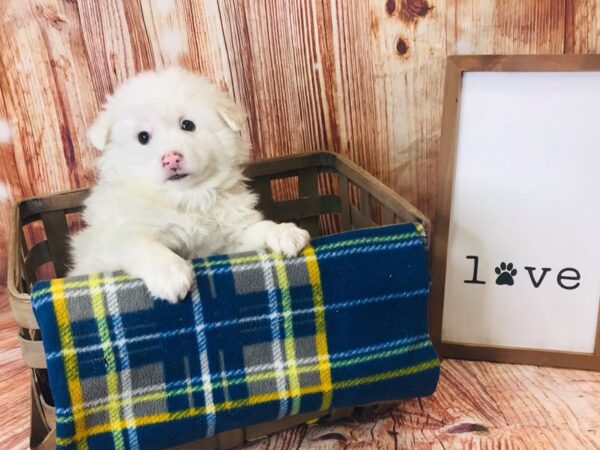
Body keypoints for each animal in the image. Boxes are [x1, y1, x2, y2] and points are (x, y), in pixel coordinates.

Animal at [71, 67, 310, 302]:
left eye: (187, 125)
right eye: (143, 137)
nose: (171, 159)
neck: (186, 197)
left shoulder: (226, 243)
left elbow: (253, 229)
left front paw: (282, 231)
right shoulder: (117, 239)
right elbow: (142, 244)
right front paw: (169, 273)